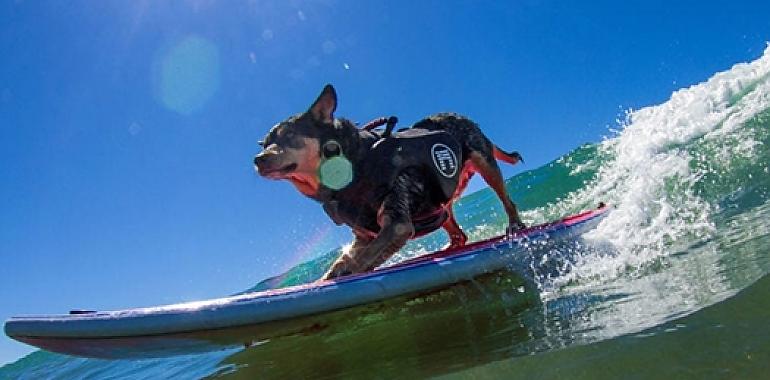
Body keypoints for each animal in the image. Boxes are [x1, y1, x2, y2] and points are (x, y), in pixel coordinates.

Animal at [255, 85, 524, 280]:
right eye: (266, 143)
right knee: (457, 232)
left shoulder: (396, 226)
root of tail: (458, 115)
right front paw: (328, 276)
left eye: (290, 135)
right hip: (441, 205)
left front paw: (345, 273)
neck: (355, 165)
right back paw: (450, 248)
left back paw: (515, 225)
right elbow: (345, 260)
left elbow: (363, 259)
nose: (257, 159)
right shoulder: (363, 235)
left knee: (506, 199)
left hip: (484, 161)